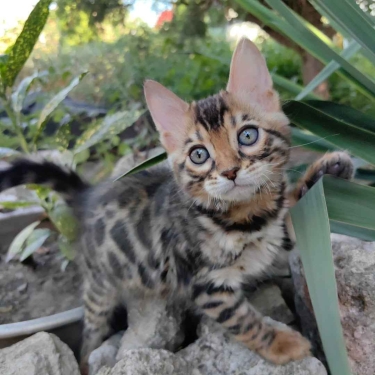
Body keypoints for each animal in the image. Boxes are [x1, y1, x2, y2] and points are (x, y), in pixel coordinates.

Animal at [0, 39, 352, 370]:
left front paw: (329, 168)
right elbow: (243, 320)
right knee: (89, 338)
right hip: (100, 289)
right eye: (199, 155)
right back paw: (87, 360)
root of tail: (89, 194)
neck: (247, 216)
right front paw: (280, 344)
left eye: (248, 136)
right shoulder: (204, 284)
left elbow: (295, 213)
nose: (230, 171)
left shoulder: (275, 231)